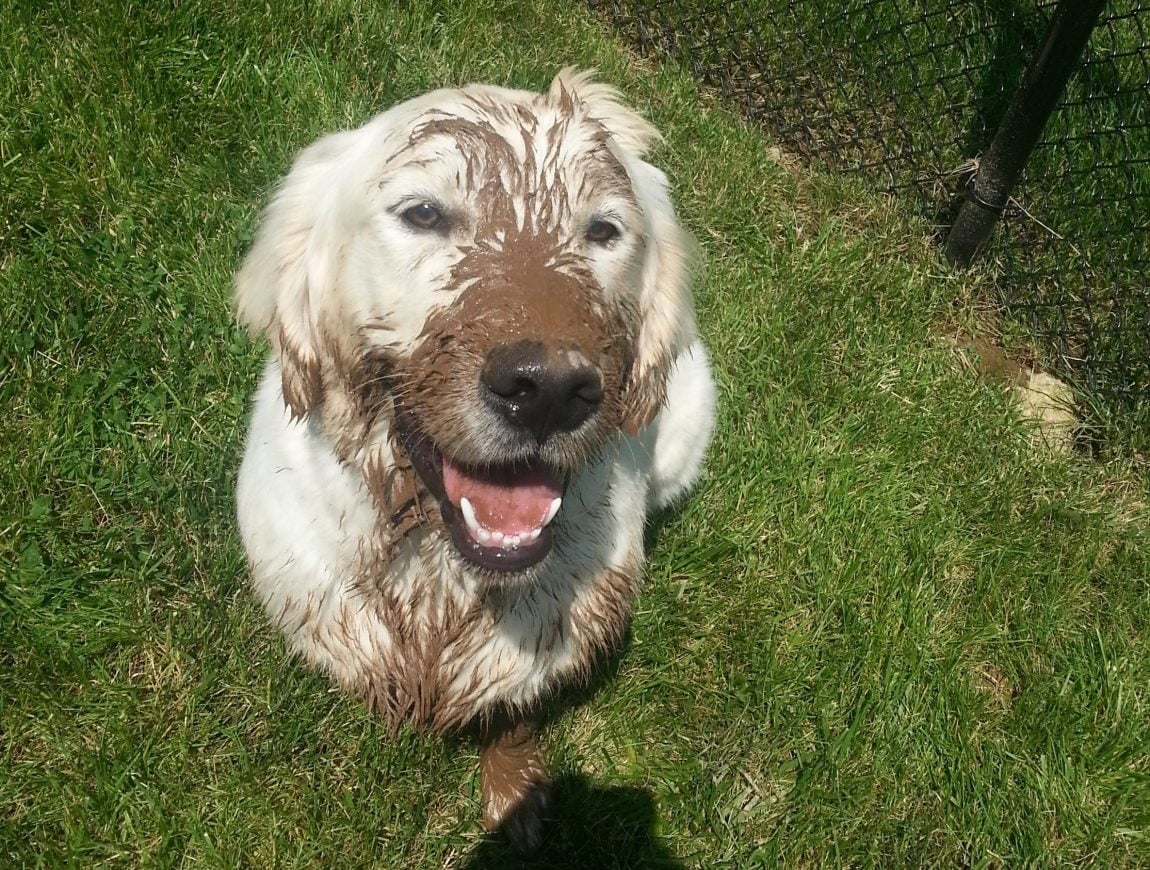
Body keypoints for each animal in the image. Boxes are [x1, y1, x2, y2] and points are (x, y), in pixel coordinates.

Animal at [234, 69, 713, 855]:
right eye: (424, 213)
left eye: (603, 230)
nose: (548, 389)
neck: (437, 570)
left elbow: (514, 708)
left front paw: (515, 795)